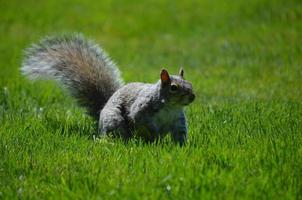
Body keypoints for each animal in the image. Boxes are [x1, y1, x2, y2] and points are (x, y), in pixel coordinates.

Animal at [21, 33, 196, 145]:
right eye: (174, 87)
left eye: (190, 84)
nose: (192, 97)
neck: (170, 107)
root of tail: (102, 110)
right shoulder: (142, 110)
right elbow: (143, 121)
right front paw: (156, 135)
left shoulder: (177, 120)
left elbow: (180, 134)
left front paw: (181, 148)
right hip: (114, 120)